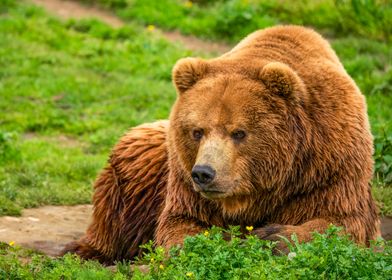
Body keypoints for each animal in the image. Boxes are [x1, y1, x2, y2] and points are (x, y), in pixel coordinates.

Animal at [62, 25, 382, 264]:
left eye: (239, 132)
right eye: (197, 131)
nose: (204, 173)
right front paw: (223, 242)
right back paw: (84, 251)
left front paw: (273, 236)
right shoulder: (184, 181)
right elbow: (181, 225)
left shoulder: (329, 166)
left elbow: (345, 222)